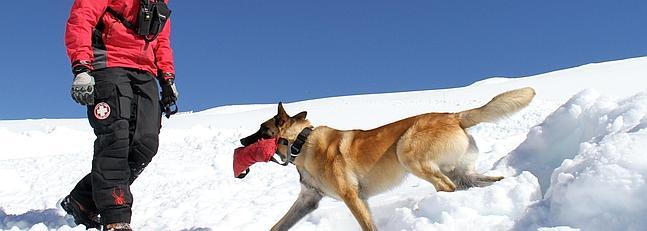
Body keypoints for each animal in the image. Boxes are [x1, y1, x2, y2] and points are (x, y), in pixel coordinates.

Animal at [240, 87, 536, 231]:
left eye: (261, 130)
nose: (241, 142)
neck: (302, 142)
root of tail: (454, 116)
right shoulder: (308, 200)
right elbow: (277, 226)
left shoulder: (352, 196)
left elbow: (367, 225)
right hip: (461, 171)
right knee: (478, 181)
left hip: (406, 151)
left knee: (447, 186)